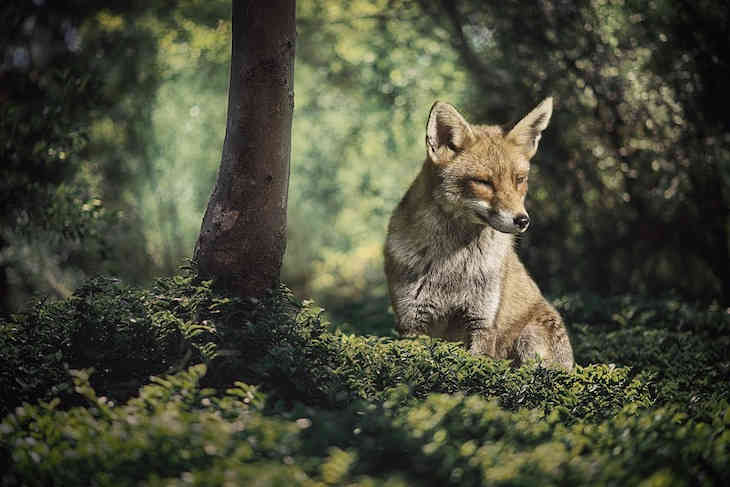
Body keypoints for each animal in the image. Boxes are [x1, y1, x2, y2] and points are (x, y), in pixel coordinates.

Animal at [382, 98, 576, 370]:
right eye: (483, 182)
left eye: (519, 180)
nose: (523, 220)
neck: (452, 267)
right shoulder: (412, 323)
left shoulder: (482, 321)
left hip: (529, 339)